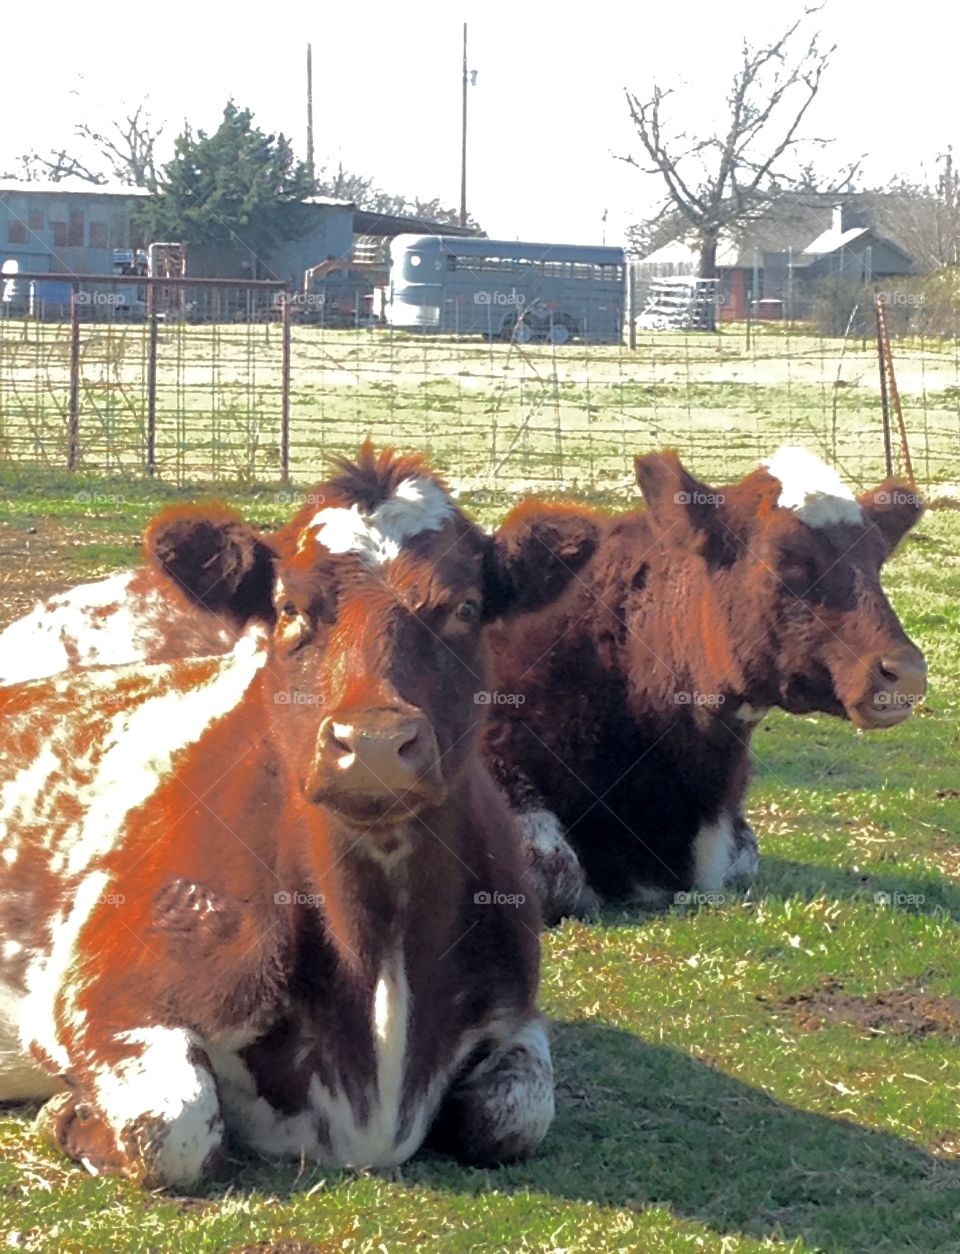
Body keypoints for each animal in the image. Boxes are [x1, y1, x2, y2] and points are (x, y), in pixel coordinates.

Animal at [0, 448, 594, 1183]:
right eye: (288, 608)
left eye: (465, 606)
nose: (373, 743)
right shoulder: (92, 999)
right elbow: (175, 1125)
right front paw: (67, 1114)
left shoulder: (516, 1012)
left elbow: (515, 1117)